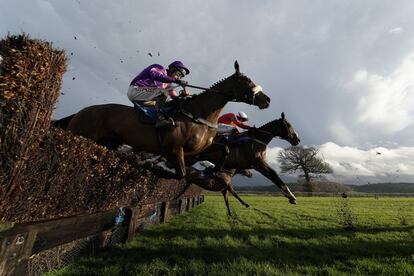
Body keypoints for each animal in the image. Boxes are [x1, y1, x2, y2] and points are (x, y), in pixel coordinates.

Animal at [59, 60, 272, 178]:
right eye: (247, 80)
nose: (267, 99)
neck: (199, 115)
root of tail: (80, 112)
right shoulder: (175, 149)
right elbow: (181, 174)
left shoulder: (204, 147)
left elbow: (225, 149)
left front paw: (213, 170)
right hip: (81, 135)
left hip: (107, 143)